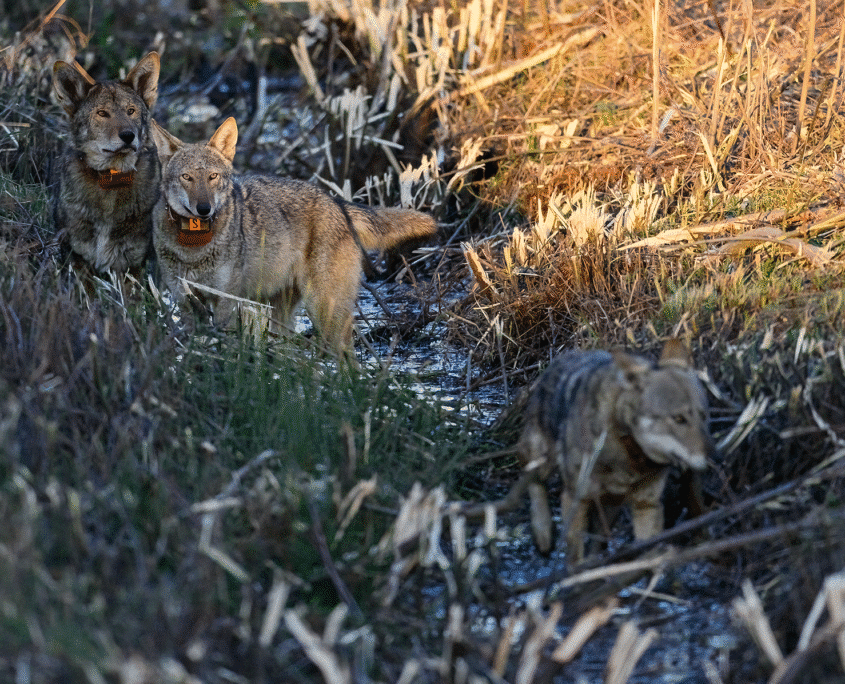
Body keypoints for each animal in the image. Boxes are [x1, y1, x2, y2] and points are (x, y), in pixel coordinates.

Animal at [52, 52, 161, 274]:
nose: (128, 136)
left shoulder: (132, 265)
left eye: (131, 111)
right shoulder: (78, 258)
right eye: (102, 113)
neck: (111, 180)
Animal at [149, 117, 438, 352]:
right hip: (284, 315)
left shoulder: (225, 303)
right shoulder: (185, 303)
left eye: (212, 176)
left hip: (324, 311)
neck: (194, 248)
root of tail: (337, 203)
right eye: (187, 177)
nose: (204, 209)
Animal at [518, 339, 714, 561]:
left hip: (611, 508)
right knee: (531, 477)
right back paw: (543, 533)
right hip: (542, 459)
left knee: (599, 539)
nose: (715, 457)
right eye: (679, 418)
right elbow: (575, 560)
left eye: (704, 416)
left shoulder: (647, 506)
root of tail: (565, 356)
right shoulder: (575, 500)